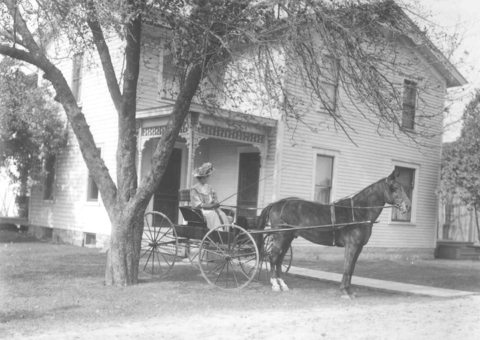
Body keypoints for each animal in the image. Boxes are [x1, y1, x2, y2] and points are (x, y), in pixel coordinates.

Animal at [256, 171, 410, 298]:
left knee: (279, 260)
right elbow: (347, 267)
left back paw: (282, 284)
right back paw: (275, 284)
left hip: (288, 238)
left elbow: (351, 268)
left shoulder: (359, 247)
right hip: (280, 237)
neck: (357, 212)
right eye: (396, 187)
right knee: (273, 258)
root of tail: (276, 204)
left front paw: (349, 290)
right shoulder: (351, 245)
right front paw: (344, 291)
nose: (407, 206)